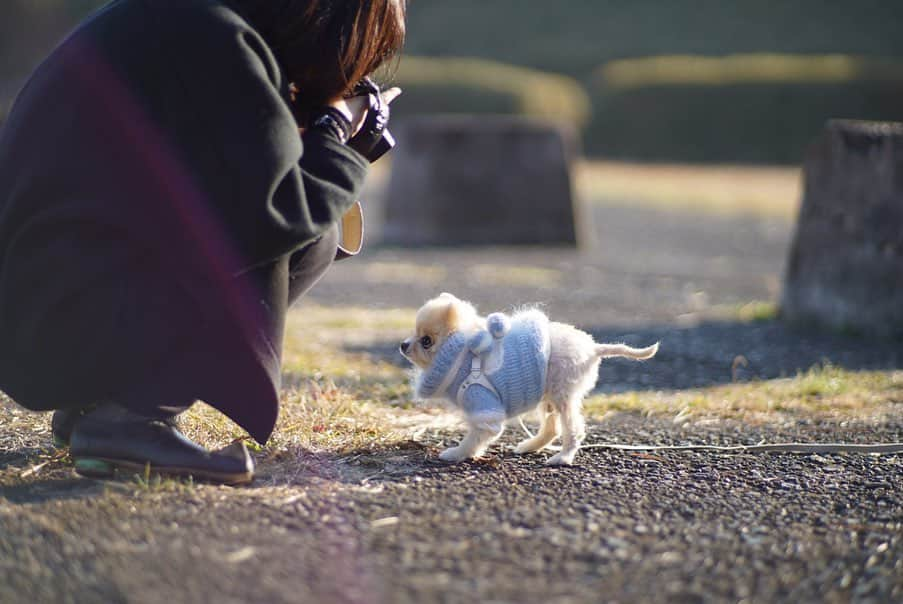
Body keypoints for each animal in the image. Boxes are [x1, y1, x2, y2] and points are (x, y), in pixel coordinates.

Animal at [400, 294, 656, 464]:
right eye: (413, 333)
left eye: (426, 341)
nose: (403, 344)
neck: (462, 354)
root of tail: (594, 347)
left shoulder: (484, 406)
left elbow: (474, 437)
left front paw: (457, 454)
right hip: (548, 396)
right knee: (552, 429)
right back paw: (529, 446)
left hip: (563, 395)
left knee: (573, 430)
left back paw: (562, 458)